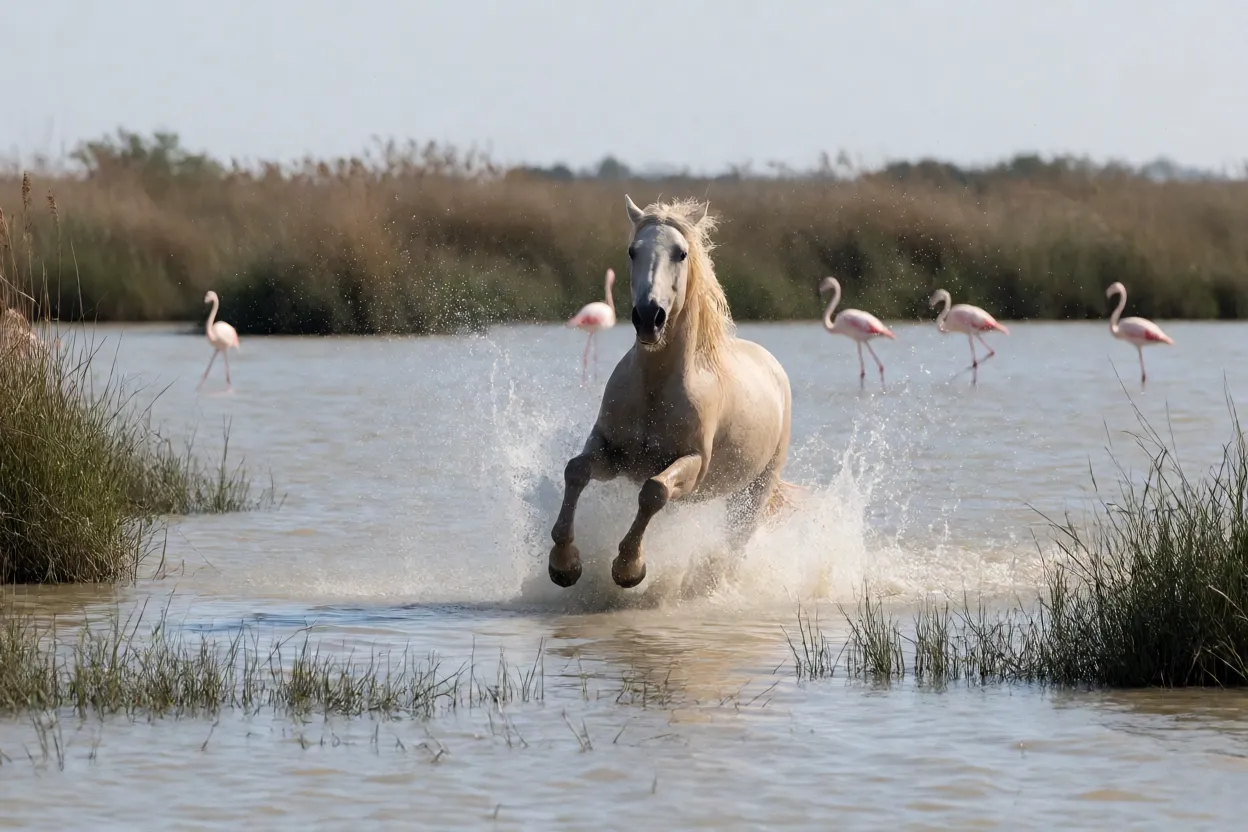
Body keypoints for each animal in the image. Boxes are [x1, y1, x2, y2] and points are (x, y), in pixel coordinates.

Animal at [547, 195, 795, 589]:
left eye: (681, 253)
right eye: (633, 251)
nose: (649, 317)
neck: (656, 386)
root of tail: (772, 366)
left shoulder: (691, 464)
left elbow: (654, 491)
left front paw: (629, 568)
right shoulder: (611, 452)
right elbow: (576, 470)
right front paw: (564, 564)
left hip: (755, 490)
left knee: (736, 541)